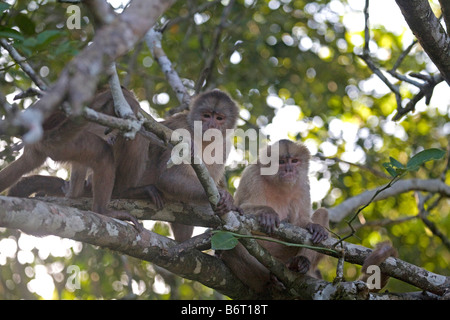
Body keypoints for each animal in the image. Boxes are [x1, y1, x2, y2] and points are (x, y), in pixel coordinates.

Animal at [219, 140, 328, 296]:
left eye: (294, 161)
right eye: (281, 162)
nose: (289, 170)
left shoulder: (302, 185)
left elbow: (301, 220)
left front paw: (314, 227)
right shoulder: (252, 175)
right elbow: (239, 208)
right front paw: (267, 213)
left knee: (323, 213)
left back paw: (300, 262)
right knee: (235, 243)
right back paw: (271, 282)